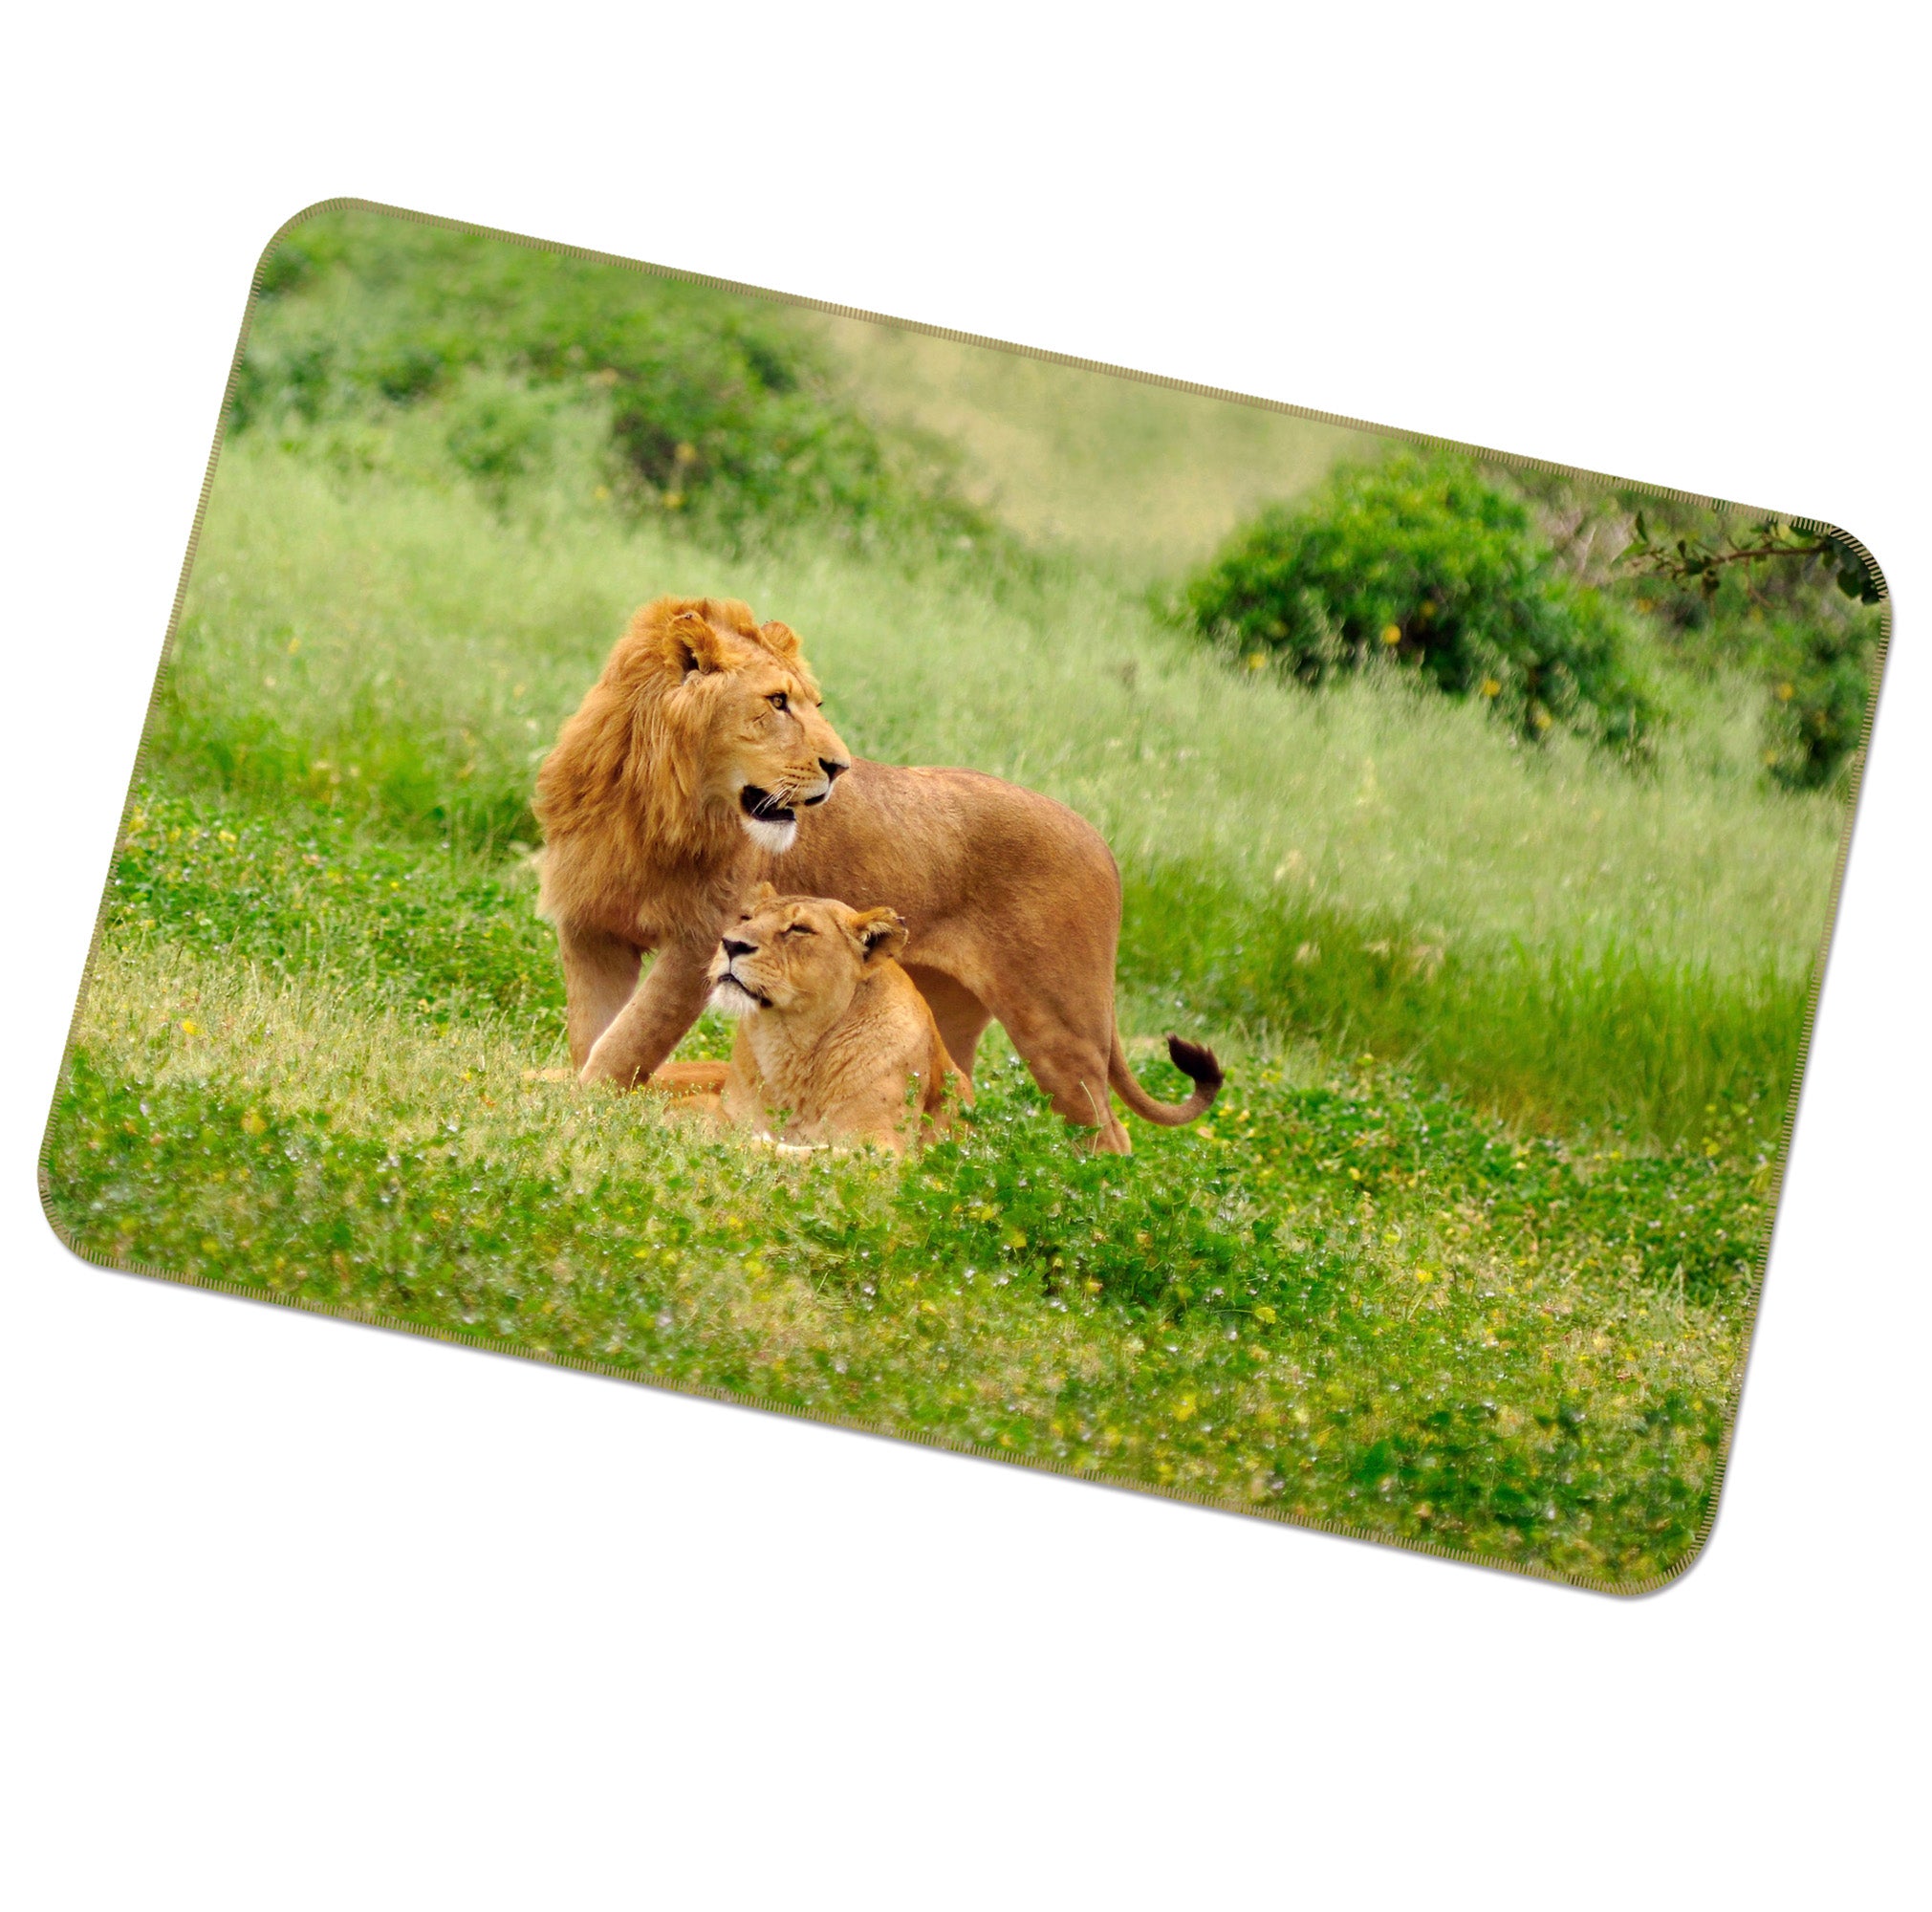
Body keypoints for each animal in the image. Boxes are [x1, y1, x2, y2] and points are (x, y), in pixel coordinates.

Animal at [648, 885, 971, 1154]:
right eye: (746, 917)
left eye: (799, 929)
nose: (731, 944)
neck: (793, 1044)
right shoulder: (724, 1108)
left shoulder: (883, 1148)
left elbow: (814, 1154)